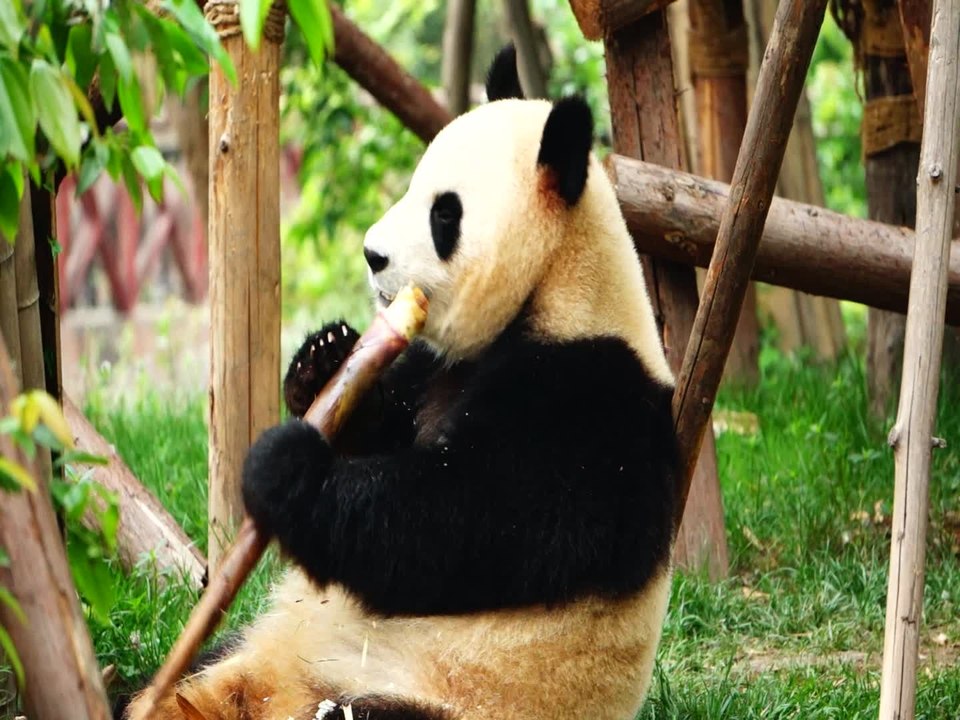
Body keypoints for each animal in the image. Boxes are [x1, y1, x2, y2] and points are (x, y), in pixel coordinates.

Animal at [123, 45, 678, 720]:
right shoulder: (437, 363)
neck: (557, 288)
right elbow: (387, 429)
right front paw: (323, 358)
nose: (371, 255)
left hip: (441, 696)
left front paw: (285, 465)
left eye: (445, 212)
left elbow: (454, 522)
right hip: (252, 646)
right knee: (206, 660)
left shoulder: (585, 406)